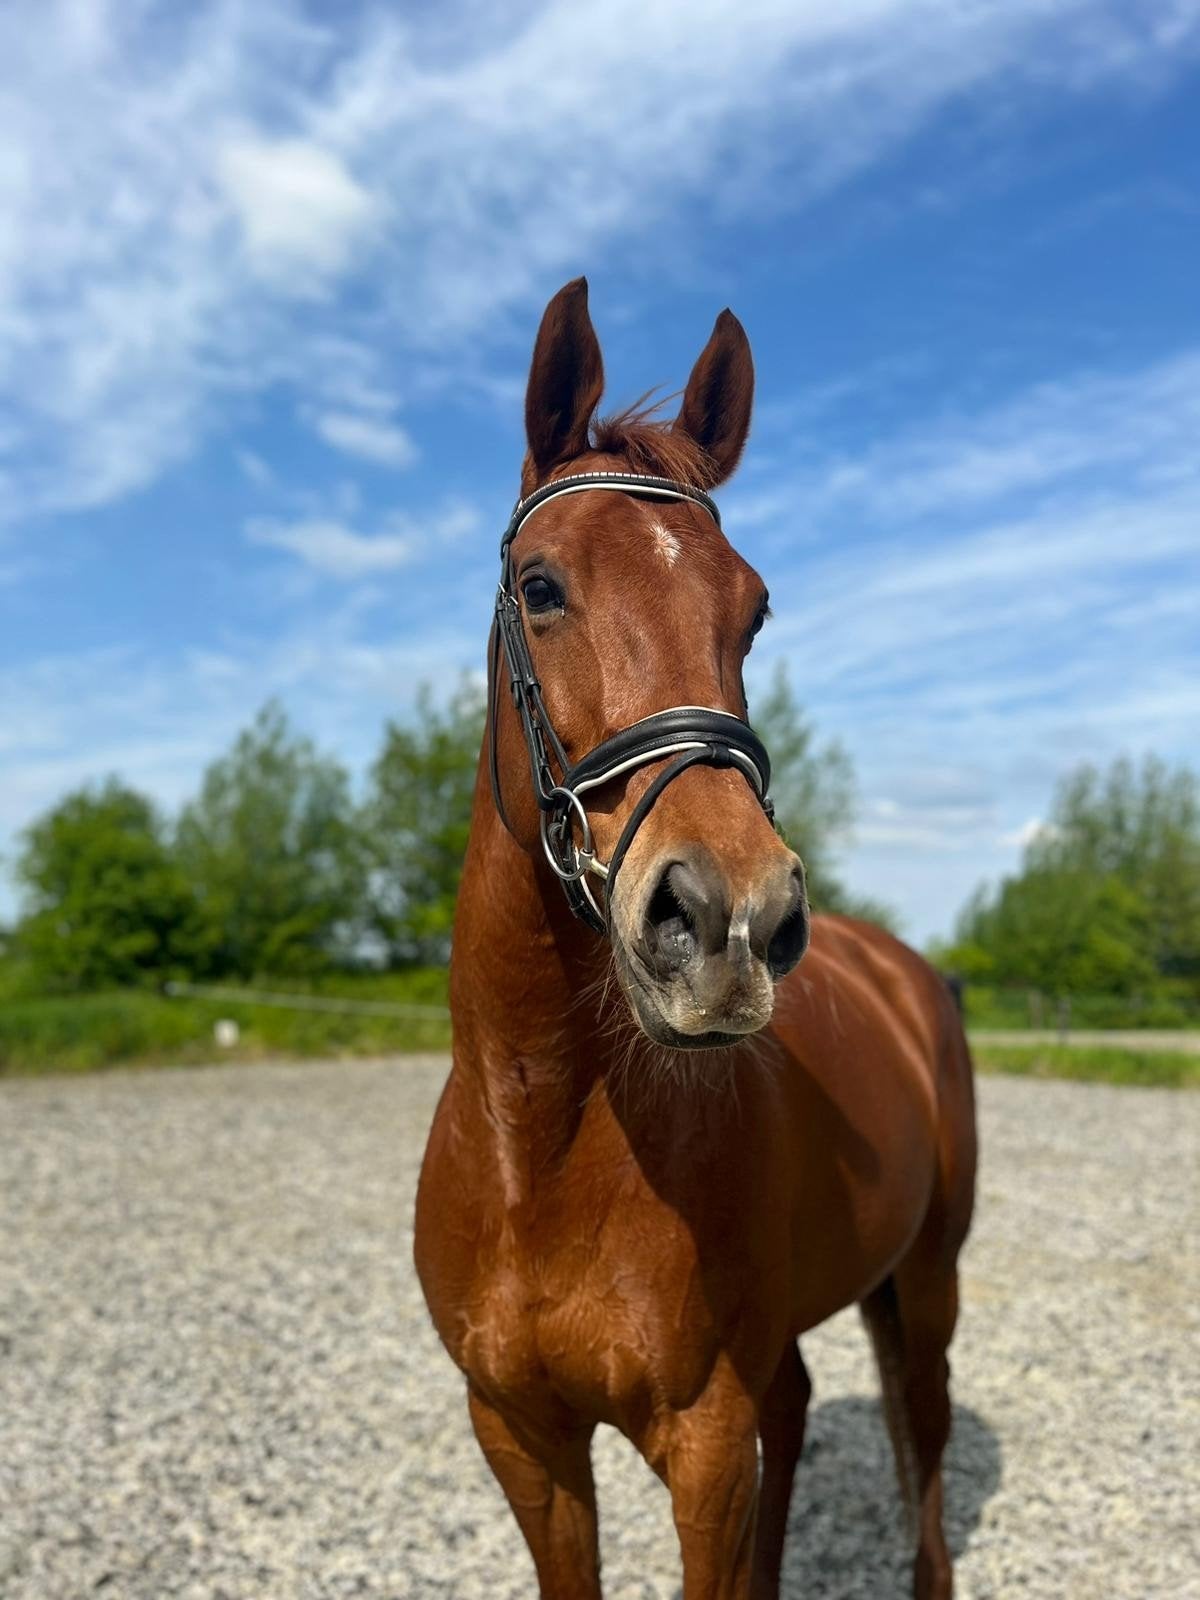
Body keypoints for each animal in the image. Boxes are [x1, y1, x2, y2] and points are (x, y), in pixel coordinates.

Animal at [415, 278, 977, 1600]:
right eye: (541, 587)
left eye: (752, 610)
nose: (734, 918)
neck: (542, 1148)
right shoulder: (521, 1436)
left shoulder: (704, 1446)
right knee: (807, 1401)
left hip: (930, 1278)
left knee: (921, 1429)